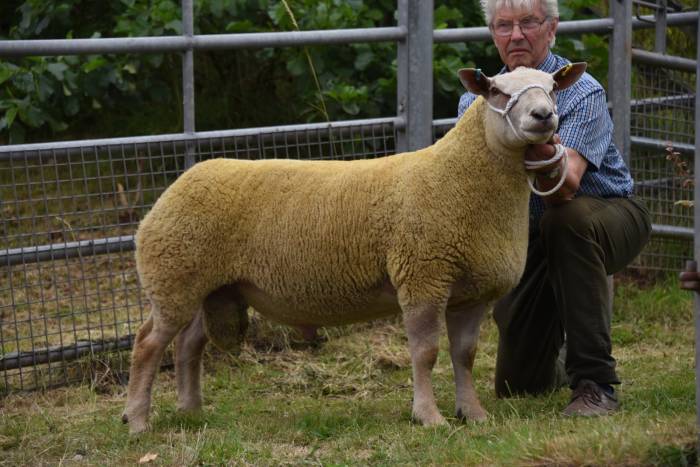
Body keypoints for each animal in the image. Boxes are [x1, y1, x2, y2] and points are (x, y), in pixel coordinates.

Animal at [120, 63, 584, 436]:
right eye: (499, 92)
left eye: (552, 88)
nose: (544, 115)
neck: (457, 177)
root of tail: (179, 184)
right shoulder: (422, 276)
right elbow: (426, 353)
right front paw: (428, 416)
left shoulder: (471, 293)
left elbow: (464, 355)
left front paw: (472, 413)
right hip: (174, 278)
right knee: (148, 345)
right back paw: (138, 421)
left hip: (210, 286)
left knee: (187, 345)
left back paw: (191, 411)